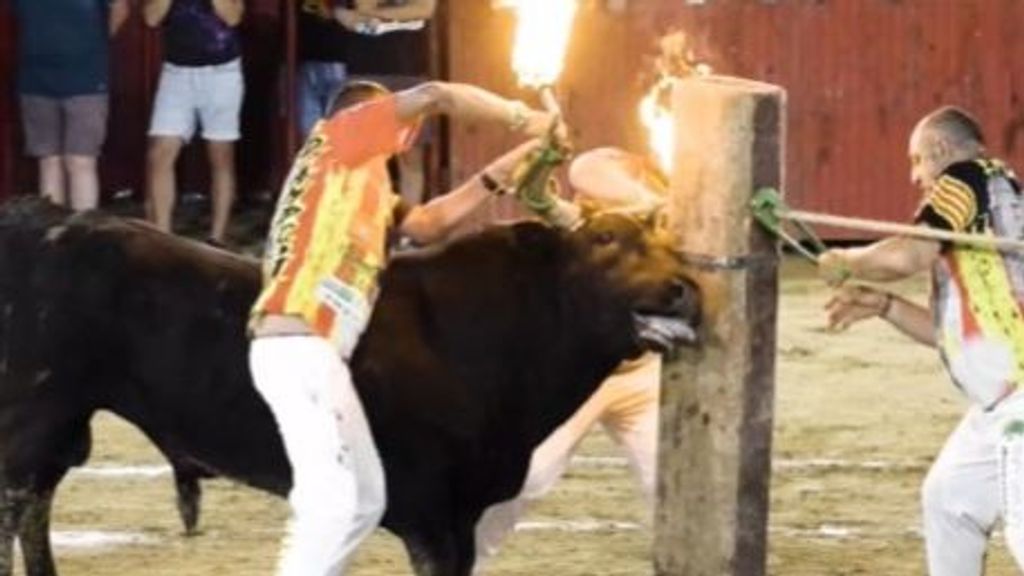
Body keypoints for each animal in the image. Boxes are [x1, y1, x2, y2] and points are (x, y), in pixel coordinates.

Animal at [0, 198, 700, 573]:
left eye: (668, 243)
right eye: (605, 239)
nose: (683, 290)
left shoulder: (464, 515)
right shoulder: (433, 517)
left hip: (61, 427)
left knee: (37, 504)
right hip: (32, 419)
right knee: (18, 504)